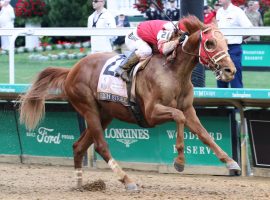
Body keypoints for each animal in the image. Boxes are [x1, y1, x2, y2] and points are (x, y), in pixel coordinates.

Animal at [20, 15, 240, 191]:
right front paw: (179, 161)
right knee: (101, 146)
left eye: (225, 41)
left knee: (78, 146)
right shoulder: (151, 113)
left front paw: (231, 163)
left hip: (104, 114)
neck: (173, 71)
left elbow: (204, 134)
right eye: (210, 43)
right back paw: (128, 181)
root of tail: (71, 70)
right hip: (88, 108)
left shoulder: (188, 109)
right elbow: (178, 118)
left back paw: (81, 184)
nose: (230, 71)